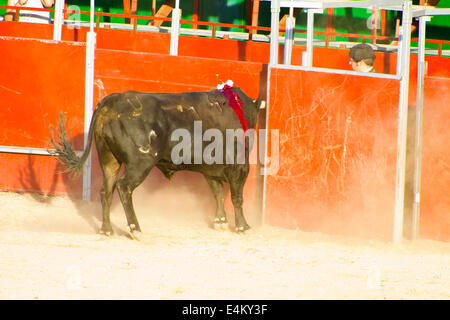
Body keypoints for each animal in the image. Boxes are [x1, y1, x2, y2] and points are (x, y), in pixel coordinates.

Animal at [50, 87, 264, 238]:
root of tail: (114, 100)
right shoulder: (240, 167)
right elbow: (236, 197)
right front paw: (243, 226)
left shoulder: (209, 170)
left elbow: (218, 192)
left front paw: (220, 221)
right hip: (140, 164)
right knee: (124, 187)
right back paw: (135, 229)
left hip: (109, 160)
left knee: (106, 190)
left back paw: (107, 229)